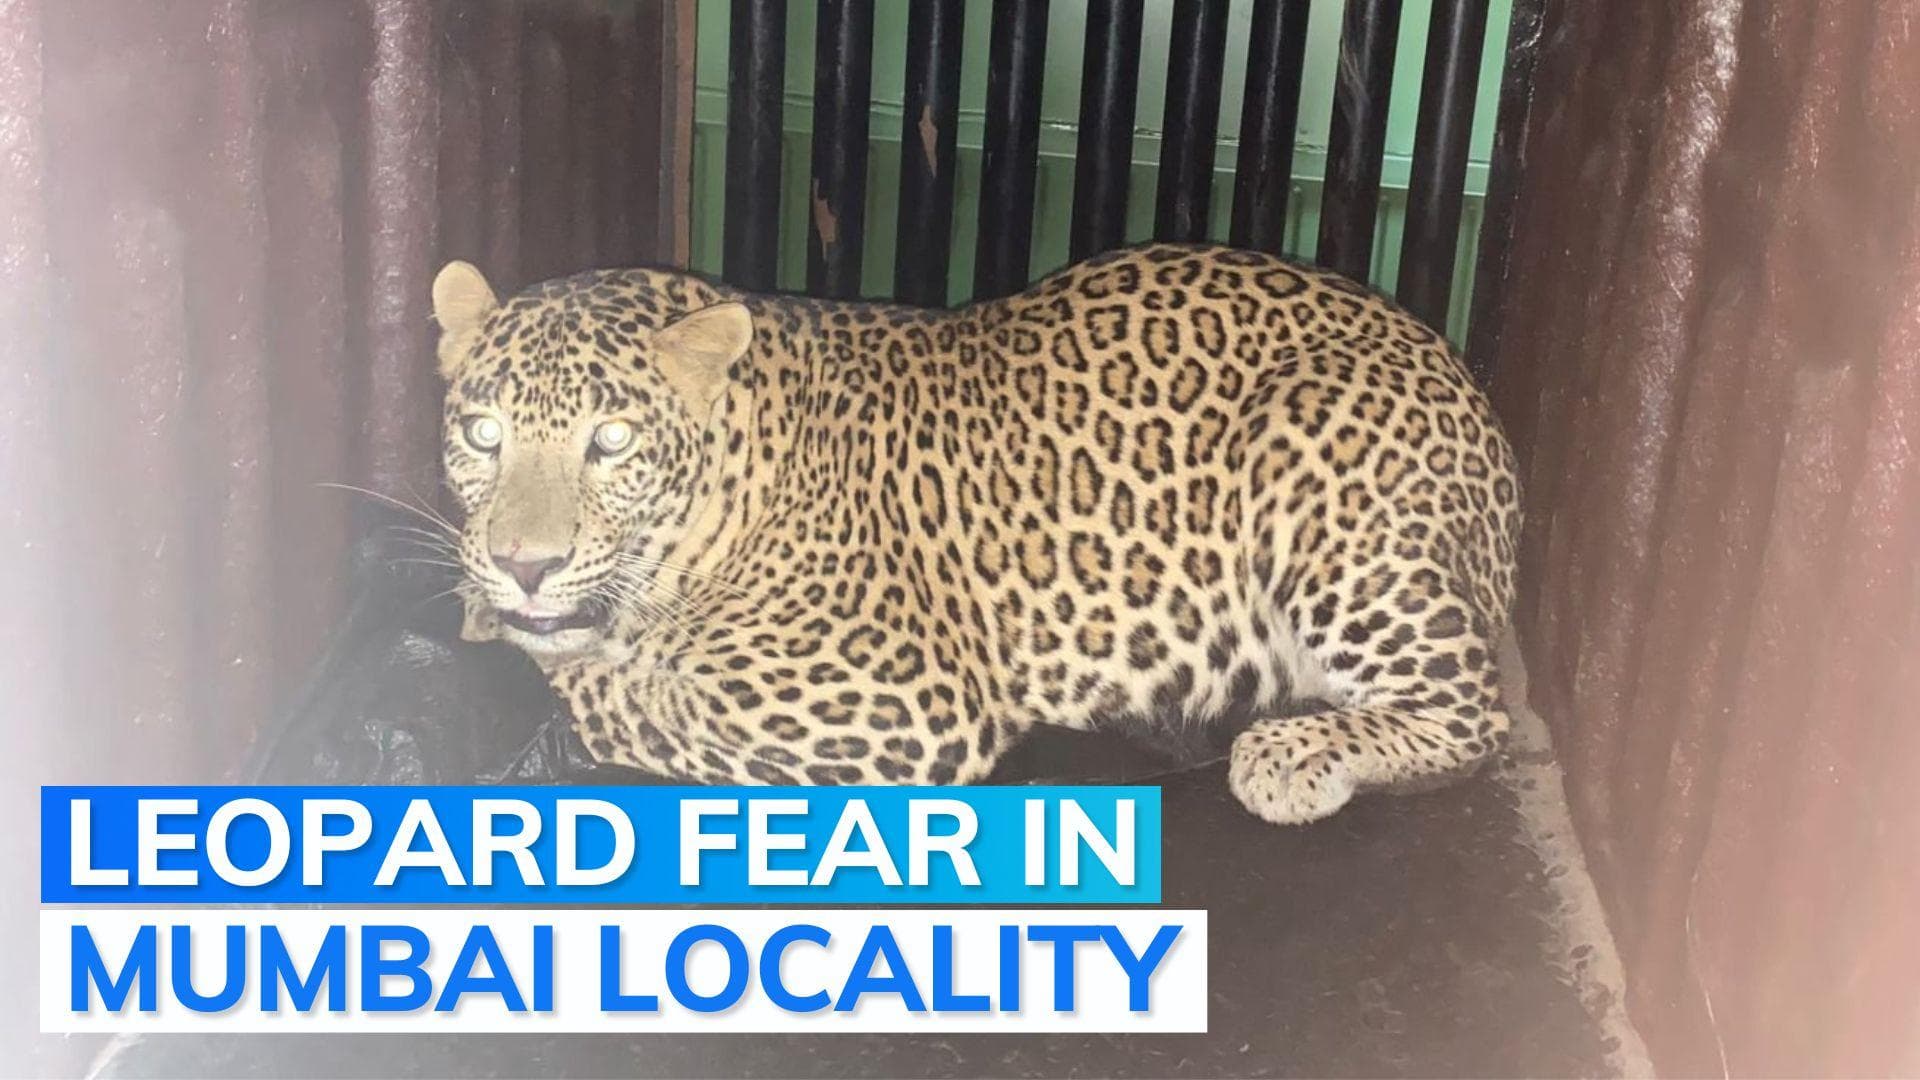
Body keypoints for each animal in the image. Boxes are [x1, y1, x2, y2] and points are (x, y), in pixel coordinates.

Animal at [428, 242, 1522, 825]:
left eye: (610, 442)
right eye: (483, 434)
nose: (527, 567)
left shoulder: (895, 706)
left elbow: (627, 701)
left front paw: (534, 649)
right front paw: (491, 599)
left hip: (1314, 465)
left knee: (1477, 718)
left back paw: (1291, 758)